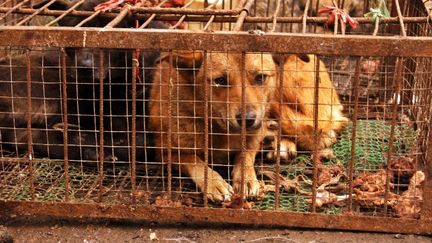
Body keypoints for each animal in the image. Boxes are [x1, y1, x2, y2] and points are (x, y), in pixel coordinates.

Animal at [148, 50, 276, 201]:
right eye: (220, 81)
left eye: (260, 77)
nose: (248, 119)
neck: (219, 130)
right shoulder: (164, 152)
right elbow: (194, 160)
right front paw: (213, 182)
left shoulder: (253, 138)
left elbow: (245, 154)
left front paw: (245, 178)